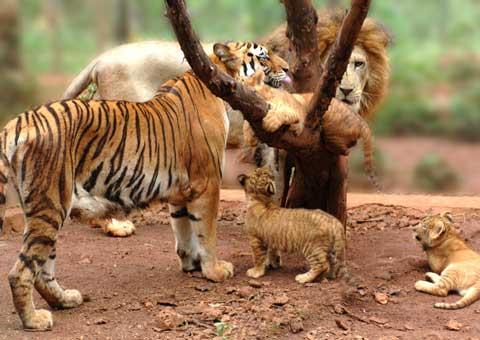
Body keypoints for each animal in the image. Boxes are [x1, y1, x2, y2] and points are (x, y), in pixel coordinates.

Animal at [0, 41, 284, 330]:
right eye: (263, 57)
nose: (286, 69)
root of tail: (14, 123)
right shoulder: (207, 183)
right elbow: (206, 233)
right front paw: (214, 270)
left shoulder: (181, 191)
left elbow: (183, 229)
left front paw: (191, 263)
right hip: (51, 202)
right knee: (21, 271)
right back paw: (33, 320)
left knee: (43, 268)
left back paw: (65, 300)